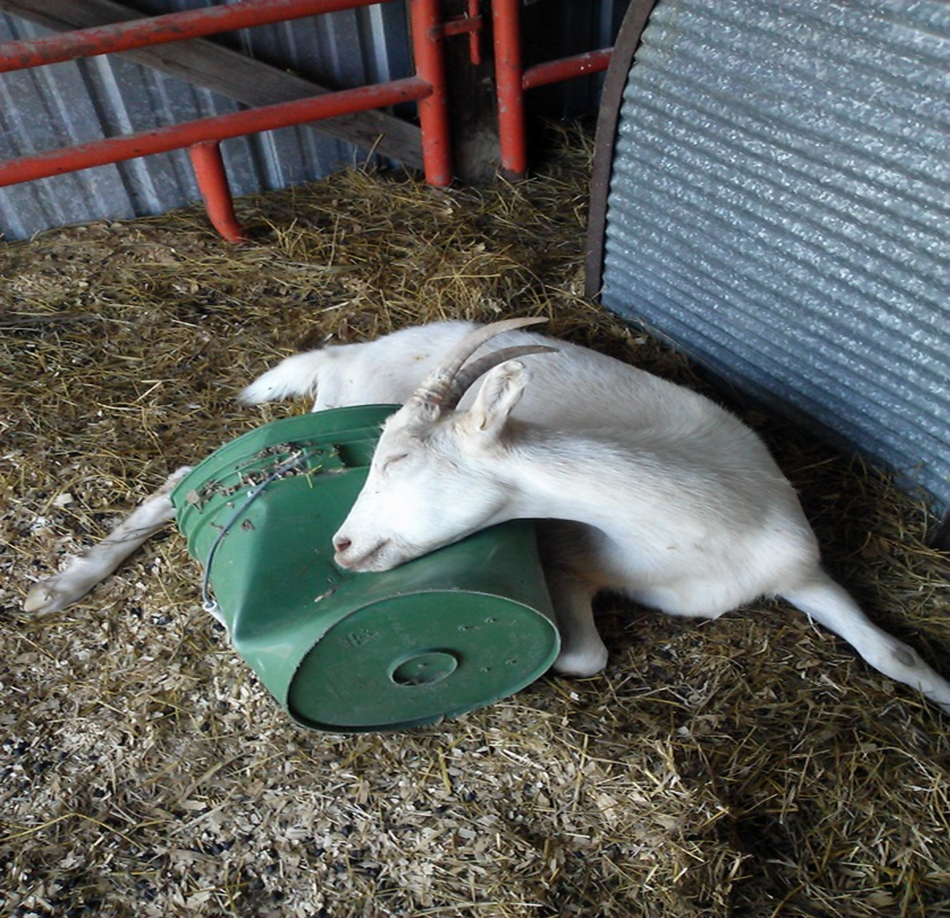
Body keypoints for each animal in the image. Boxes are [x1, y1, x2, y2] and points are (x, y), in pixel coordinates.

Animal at [332, 317, 950, 714]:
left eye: (398, 458)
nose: (341, 545)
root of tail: (355, 352)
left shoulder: (801, 568)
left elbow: (894, 652)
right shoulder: (567, 563)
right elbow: (584, 658)